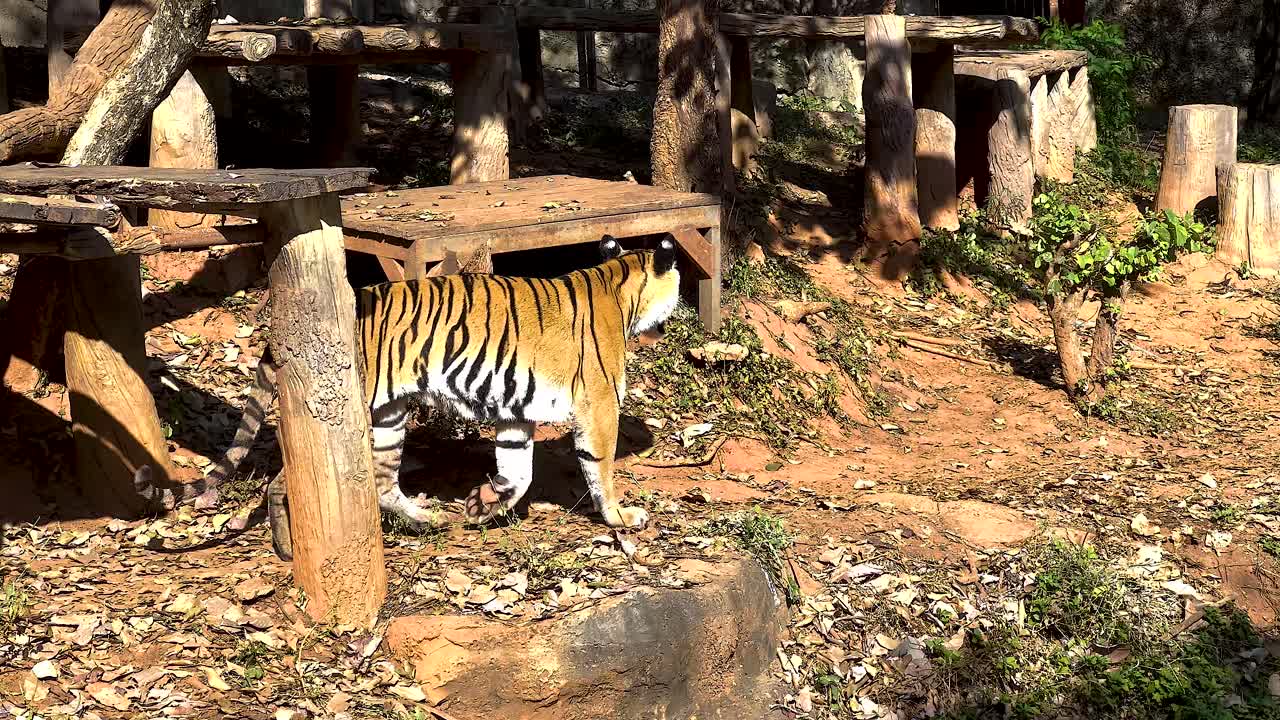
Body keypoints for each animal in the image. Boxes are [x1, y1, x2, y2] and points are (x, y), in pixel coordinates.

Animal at [151, 234, 681, 555]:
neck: (620, 283)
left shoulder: (515, 413)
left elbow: (519, 473)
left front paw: (482, 504)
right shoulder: (600, 407)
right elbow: (600, 468)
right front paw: (621, 516)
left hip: (387, 418)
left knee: (384, 482)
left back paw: (427, 520)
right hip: (357, 413)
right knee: (284, 483)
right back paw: (288, 546)